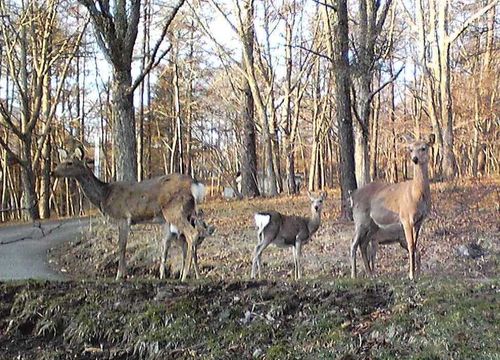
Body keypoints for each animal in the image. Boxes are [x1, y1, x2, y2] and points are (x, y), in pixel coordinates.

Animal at [54, 146, 209, 282]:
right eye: (61, 160)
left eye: (69, 162)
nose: (53, 172)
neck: (104, 195)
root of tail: (195, 185)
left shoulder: (123, 217)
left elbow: (121, 246)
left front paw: (120, 275)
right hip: (183, 213)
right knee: (187, 239)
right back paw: (195, 275)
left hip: (175, 210)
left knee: (192, 234)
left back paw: (184, 276)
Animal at [348, 136, 434, 282]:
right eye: (410, 149)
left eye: (424, 147)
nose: (415, 159)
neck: (417, 194)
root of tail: (353, 195)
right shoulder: (406, 217)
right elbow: (411, 245)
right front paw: (411, 275)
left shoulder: (420, 220)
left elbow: (415, 244)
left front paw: (417, 274)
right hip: (360, 219)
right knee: (354, 243)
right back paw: (354, 275)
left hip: (372, 225)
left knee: (363, 244)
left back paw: (370, 274)